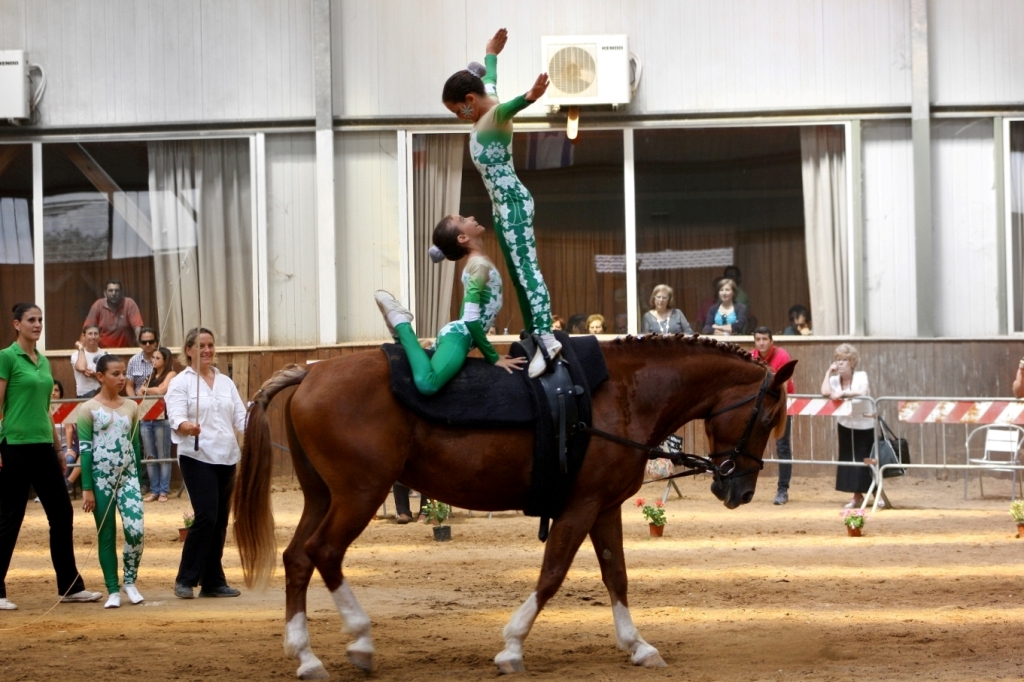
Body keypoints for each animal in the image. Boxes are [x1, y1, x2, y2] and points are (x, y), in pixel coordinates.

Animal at [232, 333, 790, 675]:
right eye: (767, 417)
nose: (739, 491)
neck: (624, 393)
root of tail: (310, 372)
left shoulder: (604, 507)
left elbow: (616, 576)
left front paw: (639, 646)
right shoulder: (580, 507)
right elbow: (553, 574)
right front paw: (512, 646)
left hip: (323, 496)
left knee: (298, 558)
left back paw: (305, 656)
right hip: (359, 494)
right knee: (324, 554)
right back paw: (360, 641)